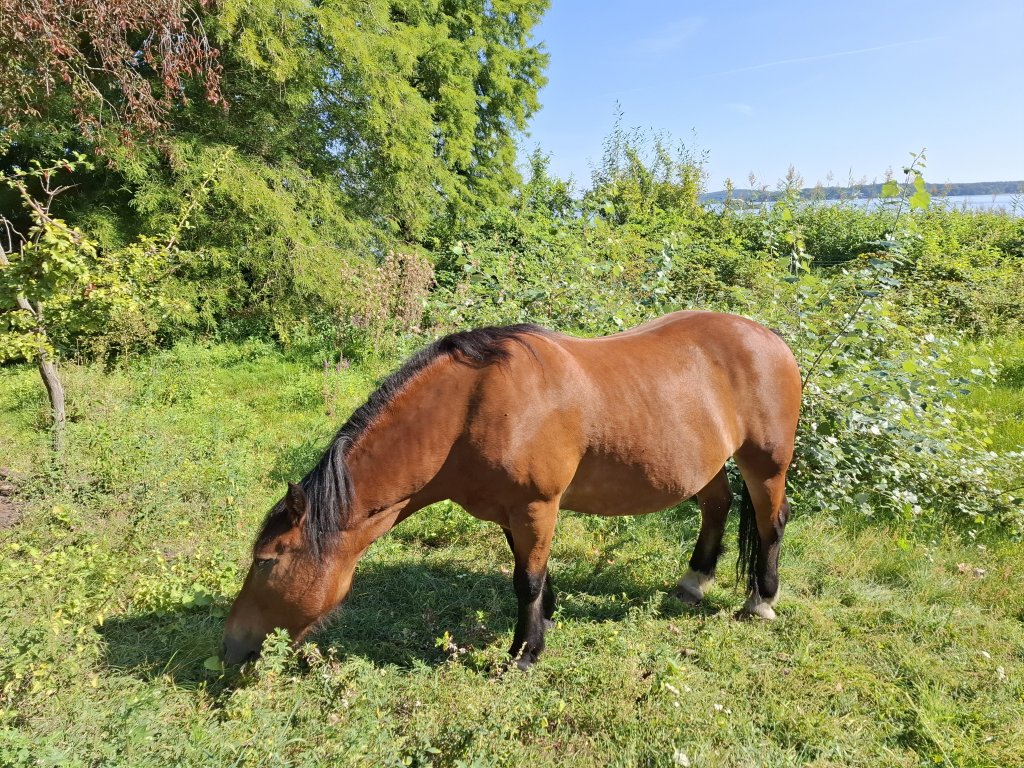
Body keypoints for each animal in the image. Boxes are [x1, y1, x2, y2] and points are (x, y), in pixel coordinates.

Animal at [223, 310, 802, 669]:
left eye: (268, 561)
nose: (230, 647)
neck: (472, 407)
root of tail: (772, 340)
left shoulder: (535, 507)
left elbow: (526, 580)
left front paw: (525, 652)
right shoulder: (511, 513)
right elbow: (533, 577)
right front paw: (545, 621)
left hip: (765, 464)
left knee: (771, 520)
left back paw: (760, 601)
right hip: (709, 465)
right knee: (717, 508)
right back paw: (693, 581)